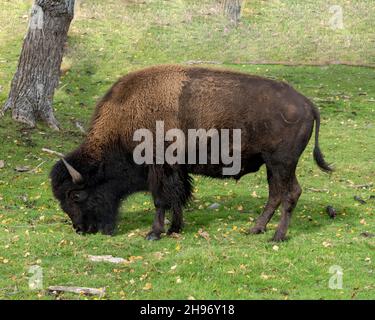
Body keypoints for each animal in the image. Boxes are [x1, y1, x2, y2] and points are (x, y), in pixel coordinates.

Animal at [50, 64, 332, 240]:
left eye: (75, 196)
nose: (82, 229)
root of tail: (307, 104)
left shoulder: (159, 167)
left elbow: (161, 199)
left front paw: (154, 233)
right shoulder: (177, 169)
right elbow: (178, 196)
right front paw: (174, 229)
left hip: (282, 163)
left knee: (290, 193)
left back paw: (277, 236)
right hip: (272, 166)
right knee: (275, 194)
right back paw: (256, 229)